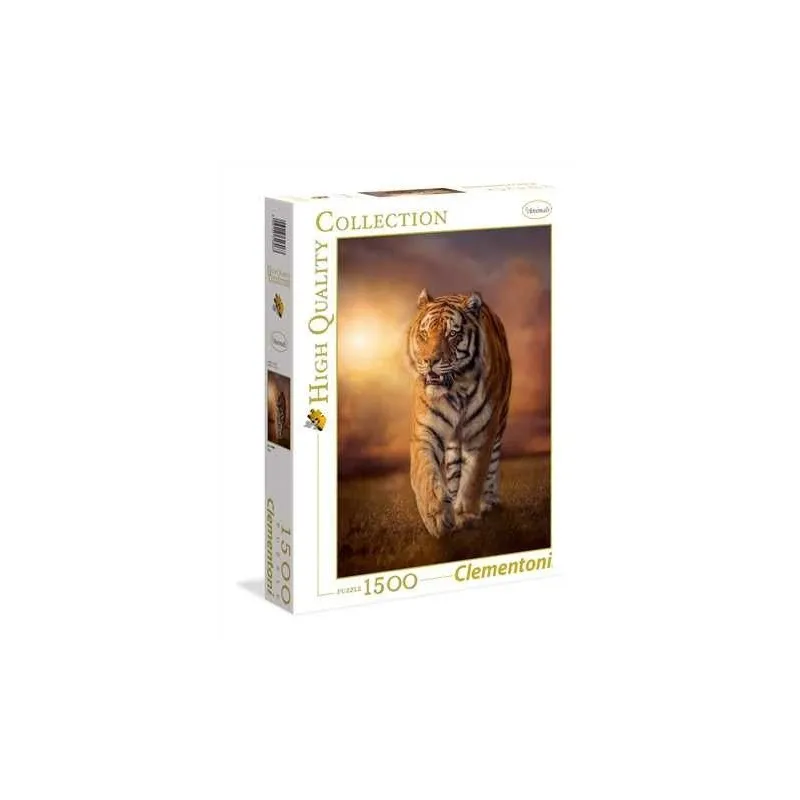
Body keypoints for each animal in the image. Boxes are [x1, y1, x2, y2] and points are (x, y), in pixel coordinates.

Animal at [407, 289, 512, 537]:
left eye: (453, 334)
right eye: (424, 334)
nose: (429, 361)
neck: (456, 388)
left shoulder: (483, 433)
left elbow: (474, 477)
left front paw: (466, 514)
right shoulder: (425, 431)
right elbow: (426, 472)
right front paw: (437, 515)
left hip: (500, 423)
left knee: (492, 465)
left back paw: (488, 501)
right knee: (454, 470)